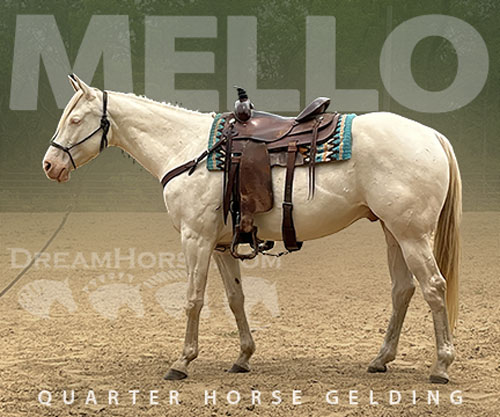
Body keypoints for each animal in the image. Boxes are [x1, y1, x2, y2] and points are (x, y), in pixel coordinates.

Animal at [42, 74, 461, 384]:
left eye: (75, 120)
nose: (49, 165)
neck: (187, 149)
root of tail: (432, 135)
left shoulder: (195, 239)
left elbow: (193, 299)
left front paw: (182, 362)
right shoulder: (220, 245)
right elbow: (235, 299)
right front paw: (243, 357)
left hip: (411, 235)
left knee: (433, 287)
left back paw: (441, 365)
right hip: (393, 232)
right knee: (403, 290)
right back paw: (381, 359)